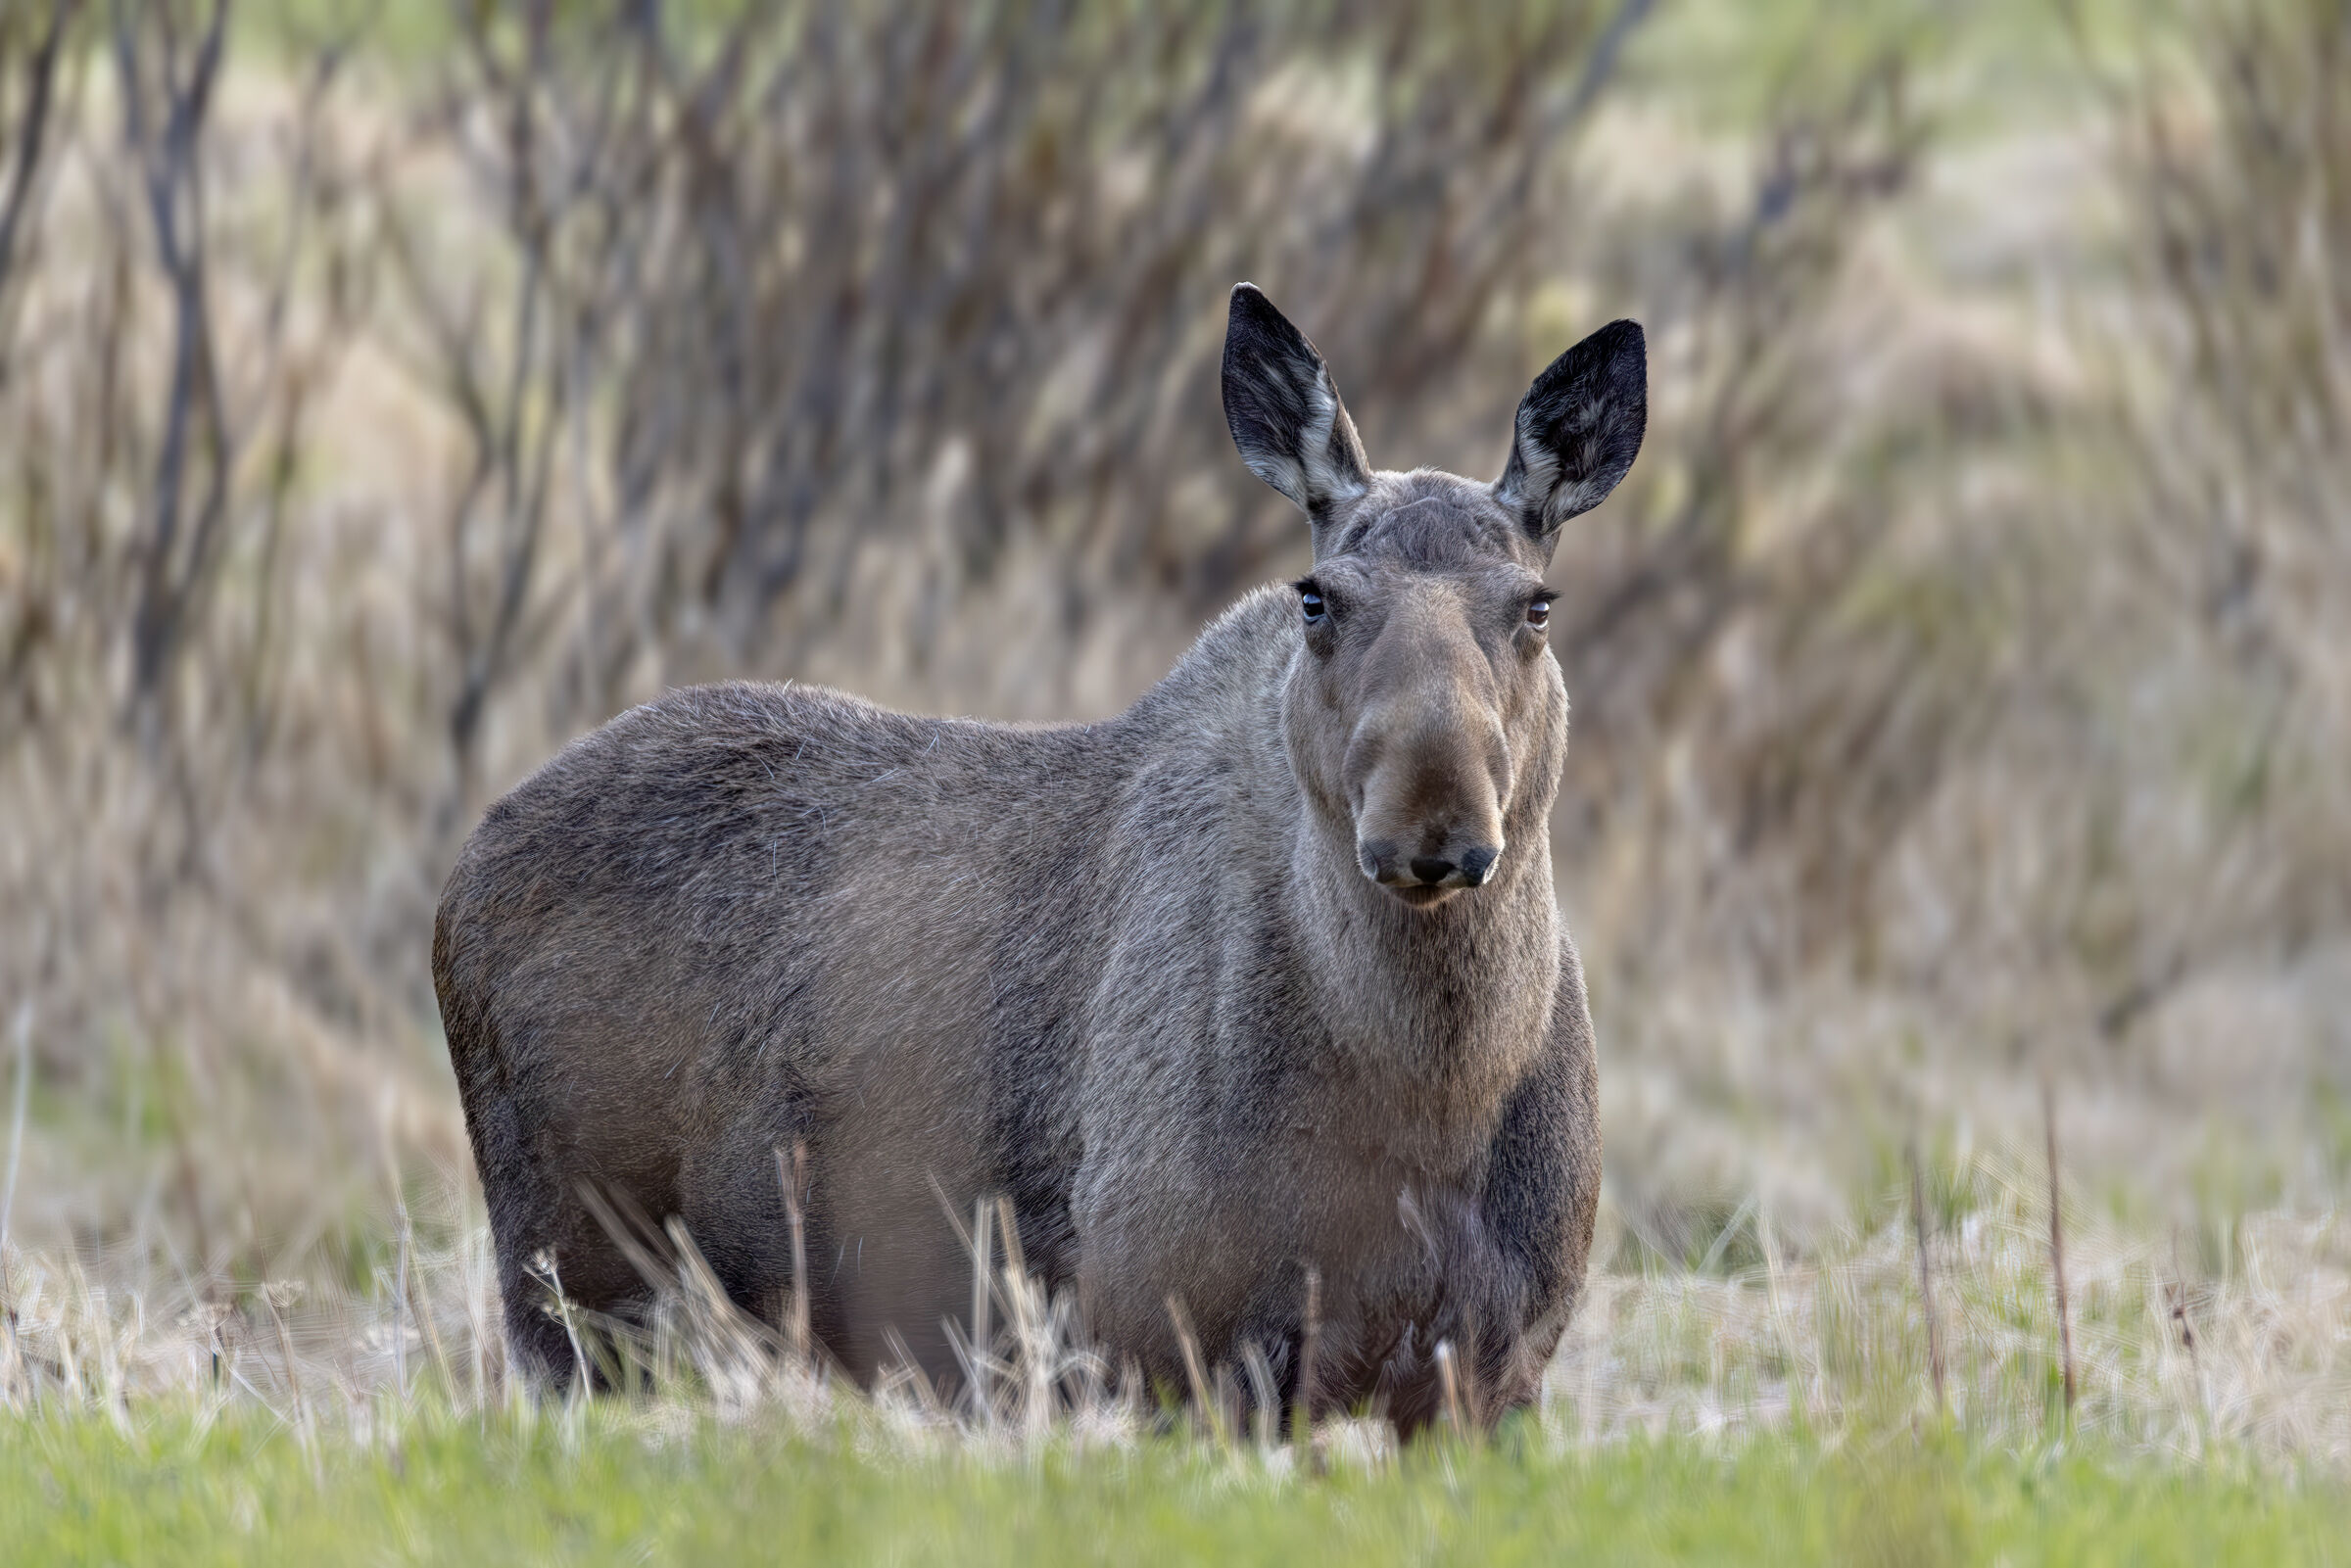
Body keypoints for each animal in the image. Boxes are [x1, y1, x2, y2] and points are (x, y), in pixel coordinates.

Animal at [432, 283, 1645, 1433]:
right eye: (1318, 598)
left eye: (1537, 604)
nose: (1431, 821)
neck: (1439, 1091)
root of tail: (460, 876)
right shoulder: (1178, 1344)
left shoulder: (1496, 1369)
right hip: (571, 1277)